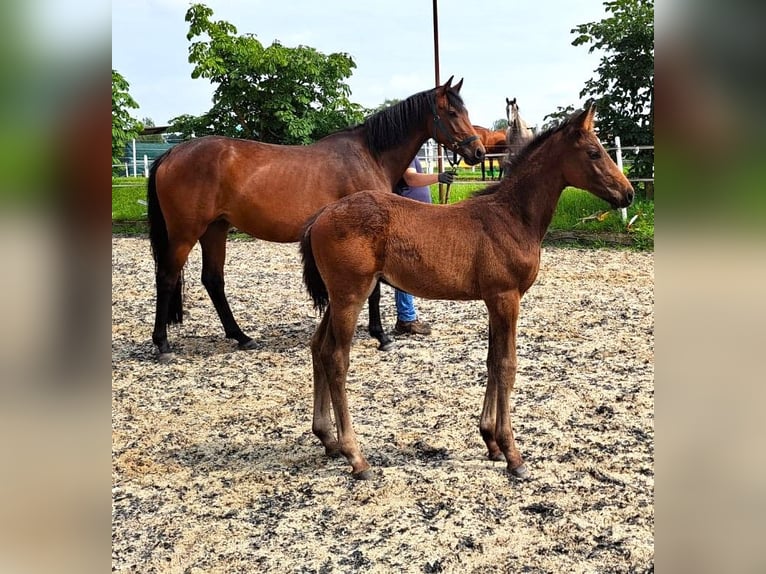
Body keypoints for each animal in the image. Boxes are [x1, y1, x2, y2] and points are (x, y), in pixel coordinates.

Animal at [147, 76, 485, 361]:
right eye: (452, 112)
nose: (479, 152)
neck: (369, 154)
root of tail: (172, 154)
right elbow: (374, 291)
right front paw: (381, 337)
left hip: (215, 229)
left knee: (213, 280)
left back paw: (241, 336)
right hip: (185, 232)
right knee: (166, 277)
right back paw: (163, 345)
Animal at [300, 105, 633, 479]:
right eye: (593, 153)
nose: (628, 193)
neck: (512, 217)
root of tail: (321, 216)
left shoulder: (494, 300)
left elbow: (492, 361)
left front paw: (490, 441)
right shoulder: (506, 298)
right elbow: (507, 365)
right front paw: (513, 454)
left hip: (339, 297)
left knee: (318, 348)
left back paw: (327, 439)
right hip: (350, 296)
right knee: (336, 358)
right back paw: (356, 456)